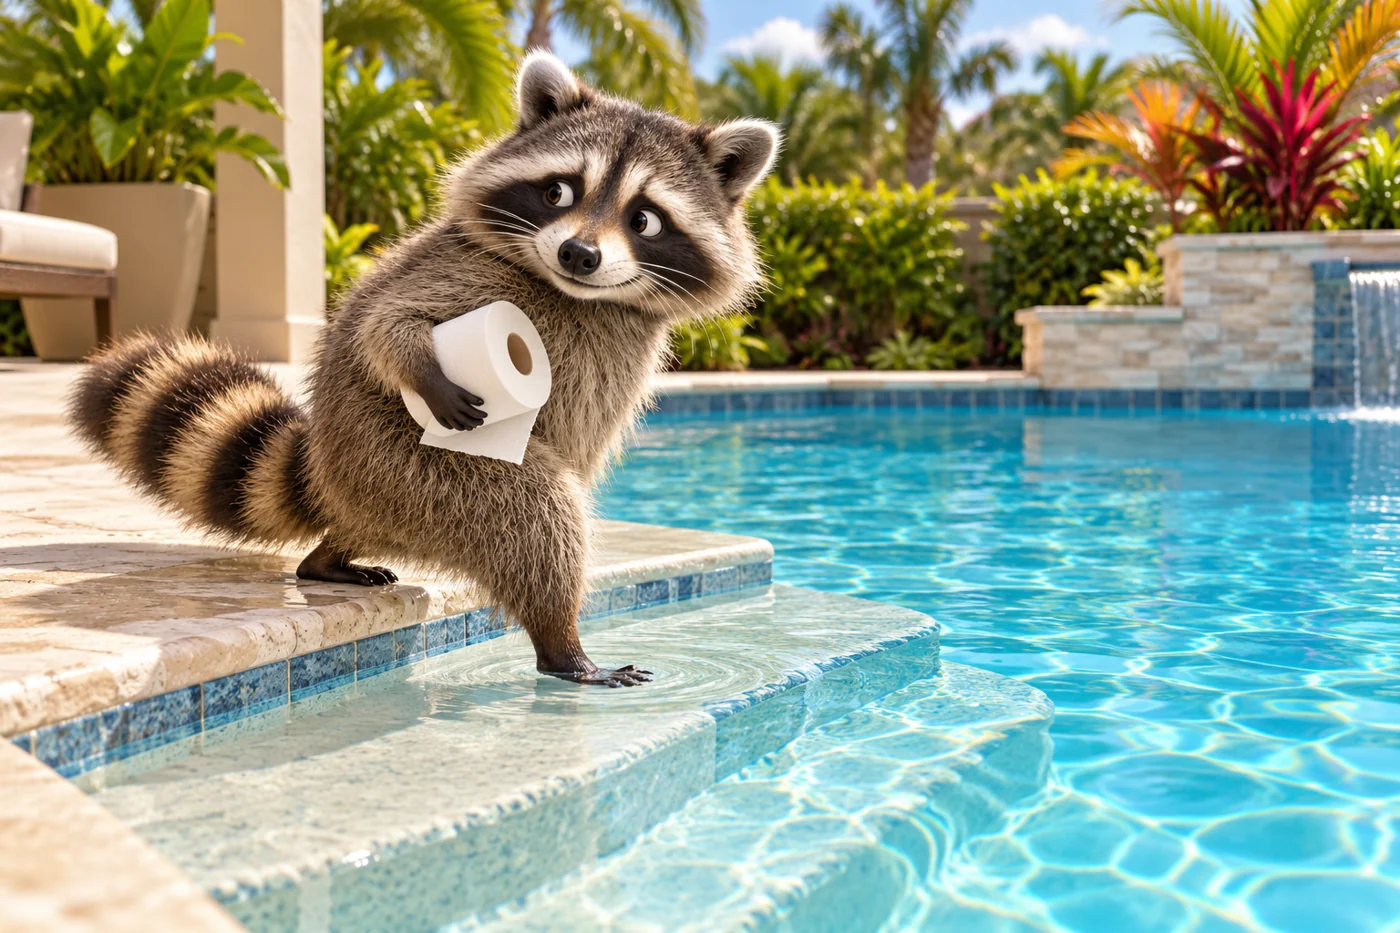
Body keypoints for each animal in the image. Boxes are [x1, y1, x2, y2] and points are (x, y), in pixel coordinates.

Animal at [68, 52, 779, 687]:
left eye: (644, 219)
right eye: (558, 191)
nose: (579, 254)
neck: (578, 294)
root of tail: (326, 470)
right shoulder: (465, 270)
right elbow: (388, 323)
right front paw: (420, 366)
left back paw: (331, 557)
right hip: (402, 466)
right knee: (538, 509)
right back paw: (562, 646)